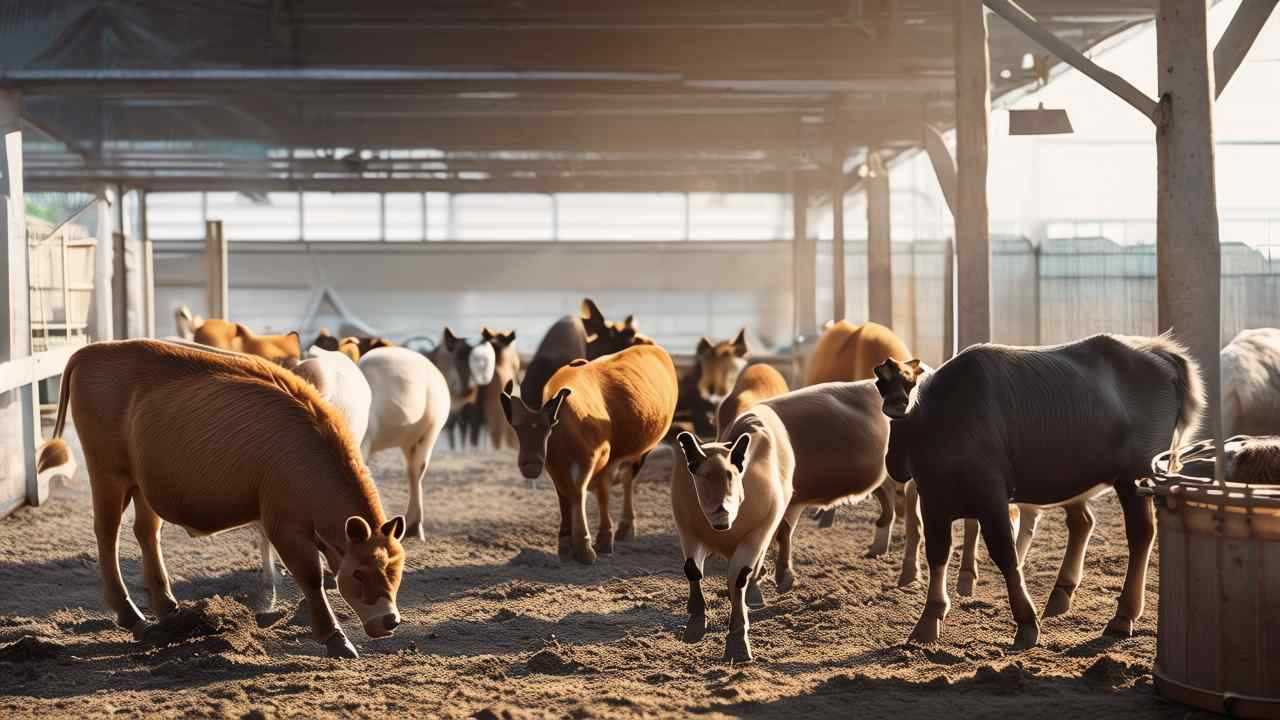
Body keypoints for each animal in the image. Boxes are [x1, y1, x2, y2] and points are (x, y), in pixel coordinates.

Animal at [35, 338, 404, 661]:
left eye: (395, 568)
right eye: (359, 573)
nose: (390, 620)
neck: (307, 451)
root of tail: (91, 351)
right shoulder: (284, 525)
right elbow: (312, 578)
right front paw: (336, 638)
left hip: (143, 486)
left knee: (146, 532)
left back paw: (168, 609)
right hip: (109, 474)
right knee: (107, 534)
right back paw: (132, 616)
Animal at [499, 340, 680, 561]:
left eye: (548, 428)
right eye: (517, 428)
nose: (530, 464)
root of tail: (652, 346)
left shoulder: (599, 456)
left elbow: (586, 492)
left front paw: (590, 544)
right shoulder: (554, 465)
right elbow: (565, 495)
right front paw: (566, 542)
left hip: (643, 449)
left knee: (628, 478)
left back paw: (625, 527)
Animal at [875, 333, 1203, 648]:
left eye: (910, 380)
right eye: (880, 382)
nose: (897, 405)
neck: (941, 422)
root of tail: (1158, 354)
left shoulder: (991, 497)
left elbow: (1005, 554)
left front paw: (1026, 622)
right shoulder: (933, 501)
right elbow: (938, 554)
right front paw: (929, 619)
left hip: (1133, 477)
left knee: (1140, 535)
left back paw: (1123, 617)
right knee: (1084, 523)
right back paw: (1063, 594)